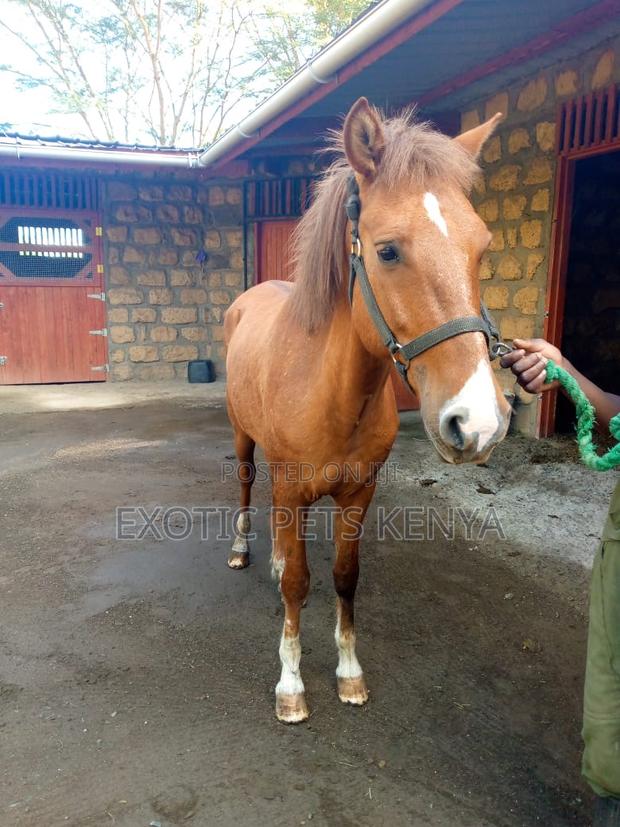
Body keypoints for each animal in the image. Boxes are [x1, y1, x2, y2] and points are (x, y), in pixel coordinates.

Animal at [224, 97, 511, 723]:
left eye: (481, 247)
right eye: (387, 250)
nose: (477, 422)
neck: (332, 392)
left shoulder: (358, 493)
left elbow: (343, 576)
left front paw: (349, 673)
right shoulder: (293, 487)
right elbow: (300, 584)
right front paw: (291, 684)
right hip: (245, 441)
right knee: (246, 485)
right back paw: (242, 551)